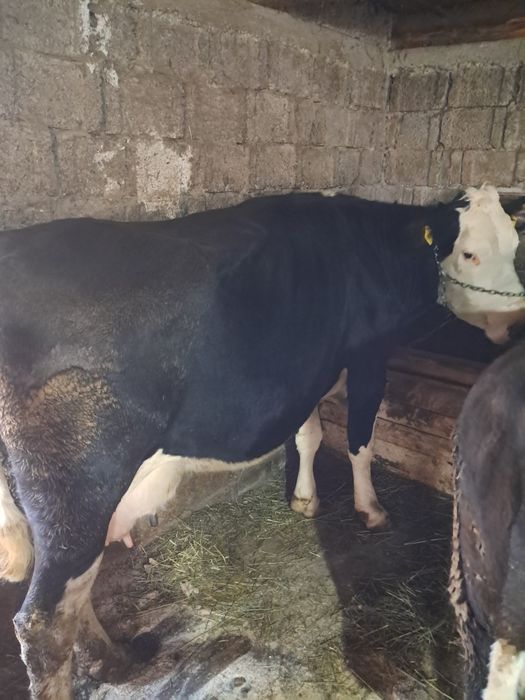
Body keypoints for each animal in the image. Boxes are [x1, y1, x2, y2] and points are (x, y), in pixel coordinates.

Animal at [0, 185, 523, 699]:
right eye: (469, 253)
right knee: (43, 622)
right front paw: (371, 509)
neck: (371, 247)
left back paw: (117, 661)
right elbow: (360, 442)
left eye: (516, 246)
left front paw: (304, 500)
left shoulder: (305, 373)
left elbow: (309, 436)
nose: (517, 321)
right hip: (78, 487)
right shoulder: (369, 357)